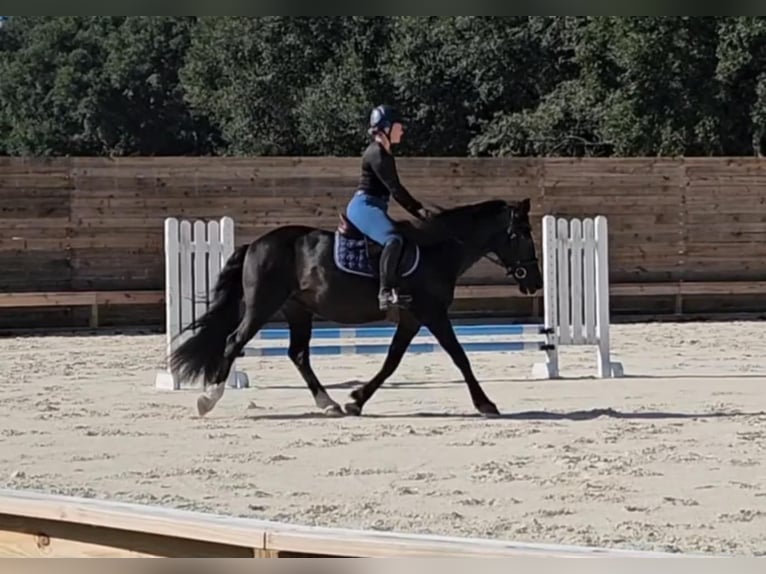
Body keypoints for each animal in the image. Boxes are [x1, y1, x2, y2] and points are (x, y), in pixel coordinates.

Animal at [168, 197, 544, 418]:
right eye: (522, 235)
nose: (535, 282)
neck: (439, 248)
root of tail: (255, 244)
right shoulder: (433, 314)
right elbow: (460, 356)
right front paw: (486, 403)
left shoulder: (412, 318)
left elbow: (392, 361)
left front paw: (356, 399)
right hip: (262, 306)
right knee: (234, 342)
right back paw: (208, 398)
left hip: (297, 310)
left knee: (298, 354)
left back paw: (329, 404)